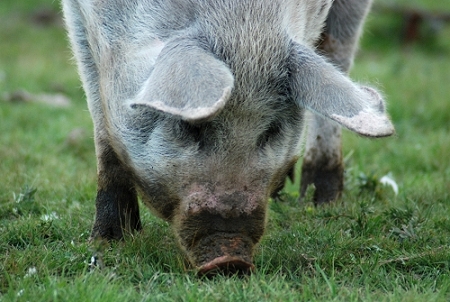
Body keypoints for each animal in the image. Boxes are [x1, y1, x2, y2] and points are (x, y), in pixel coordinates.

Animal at [61, 0, 392, 274]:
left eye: (272, 130)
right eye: (192, 128)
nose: (230, 260)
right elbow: (102, 124)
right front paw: (108, 242)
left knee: (336, 53)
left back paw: (321, 202)